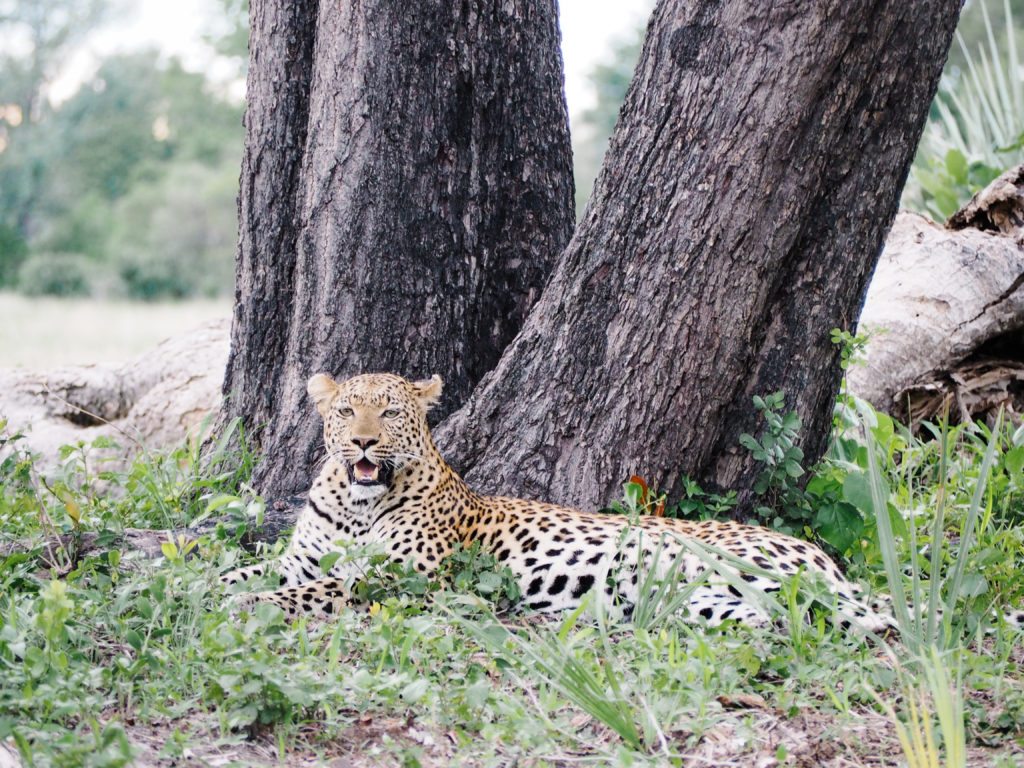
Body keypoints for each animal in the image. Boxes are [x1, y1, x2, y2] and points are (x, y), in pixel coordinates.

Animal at [224, 374, 1024, 638]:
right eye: (347, 410)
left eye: (389, 413)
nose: (362, 440)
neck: (357, 502)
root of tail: (820, 554)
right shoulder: (301, 554)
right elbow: (252, 570)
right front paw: (208, 587)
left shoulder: (404, 578)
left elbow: (317, 589)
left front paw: (252, 606)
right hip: (710, 599)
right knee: (784, 621)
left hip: (742, 570)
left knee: (853, 617)